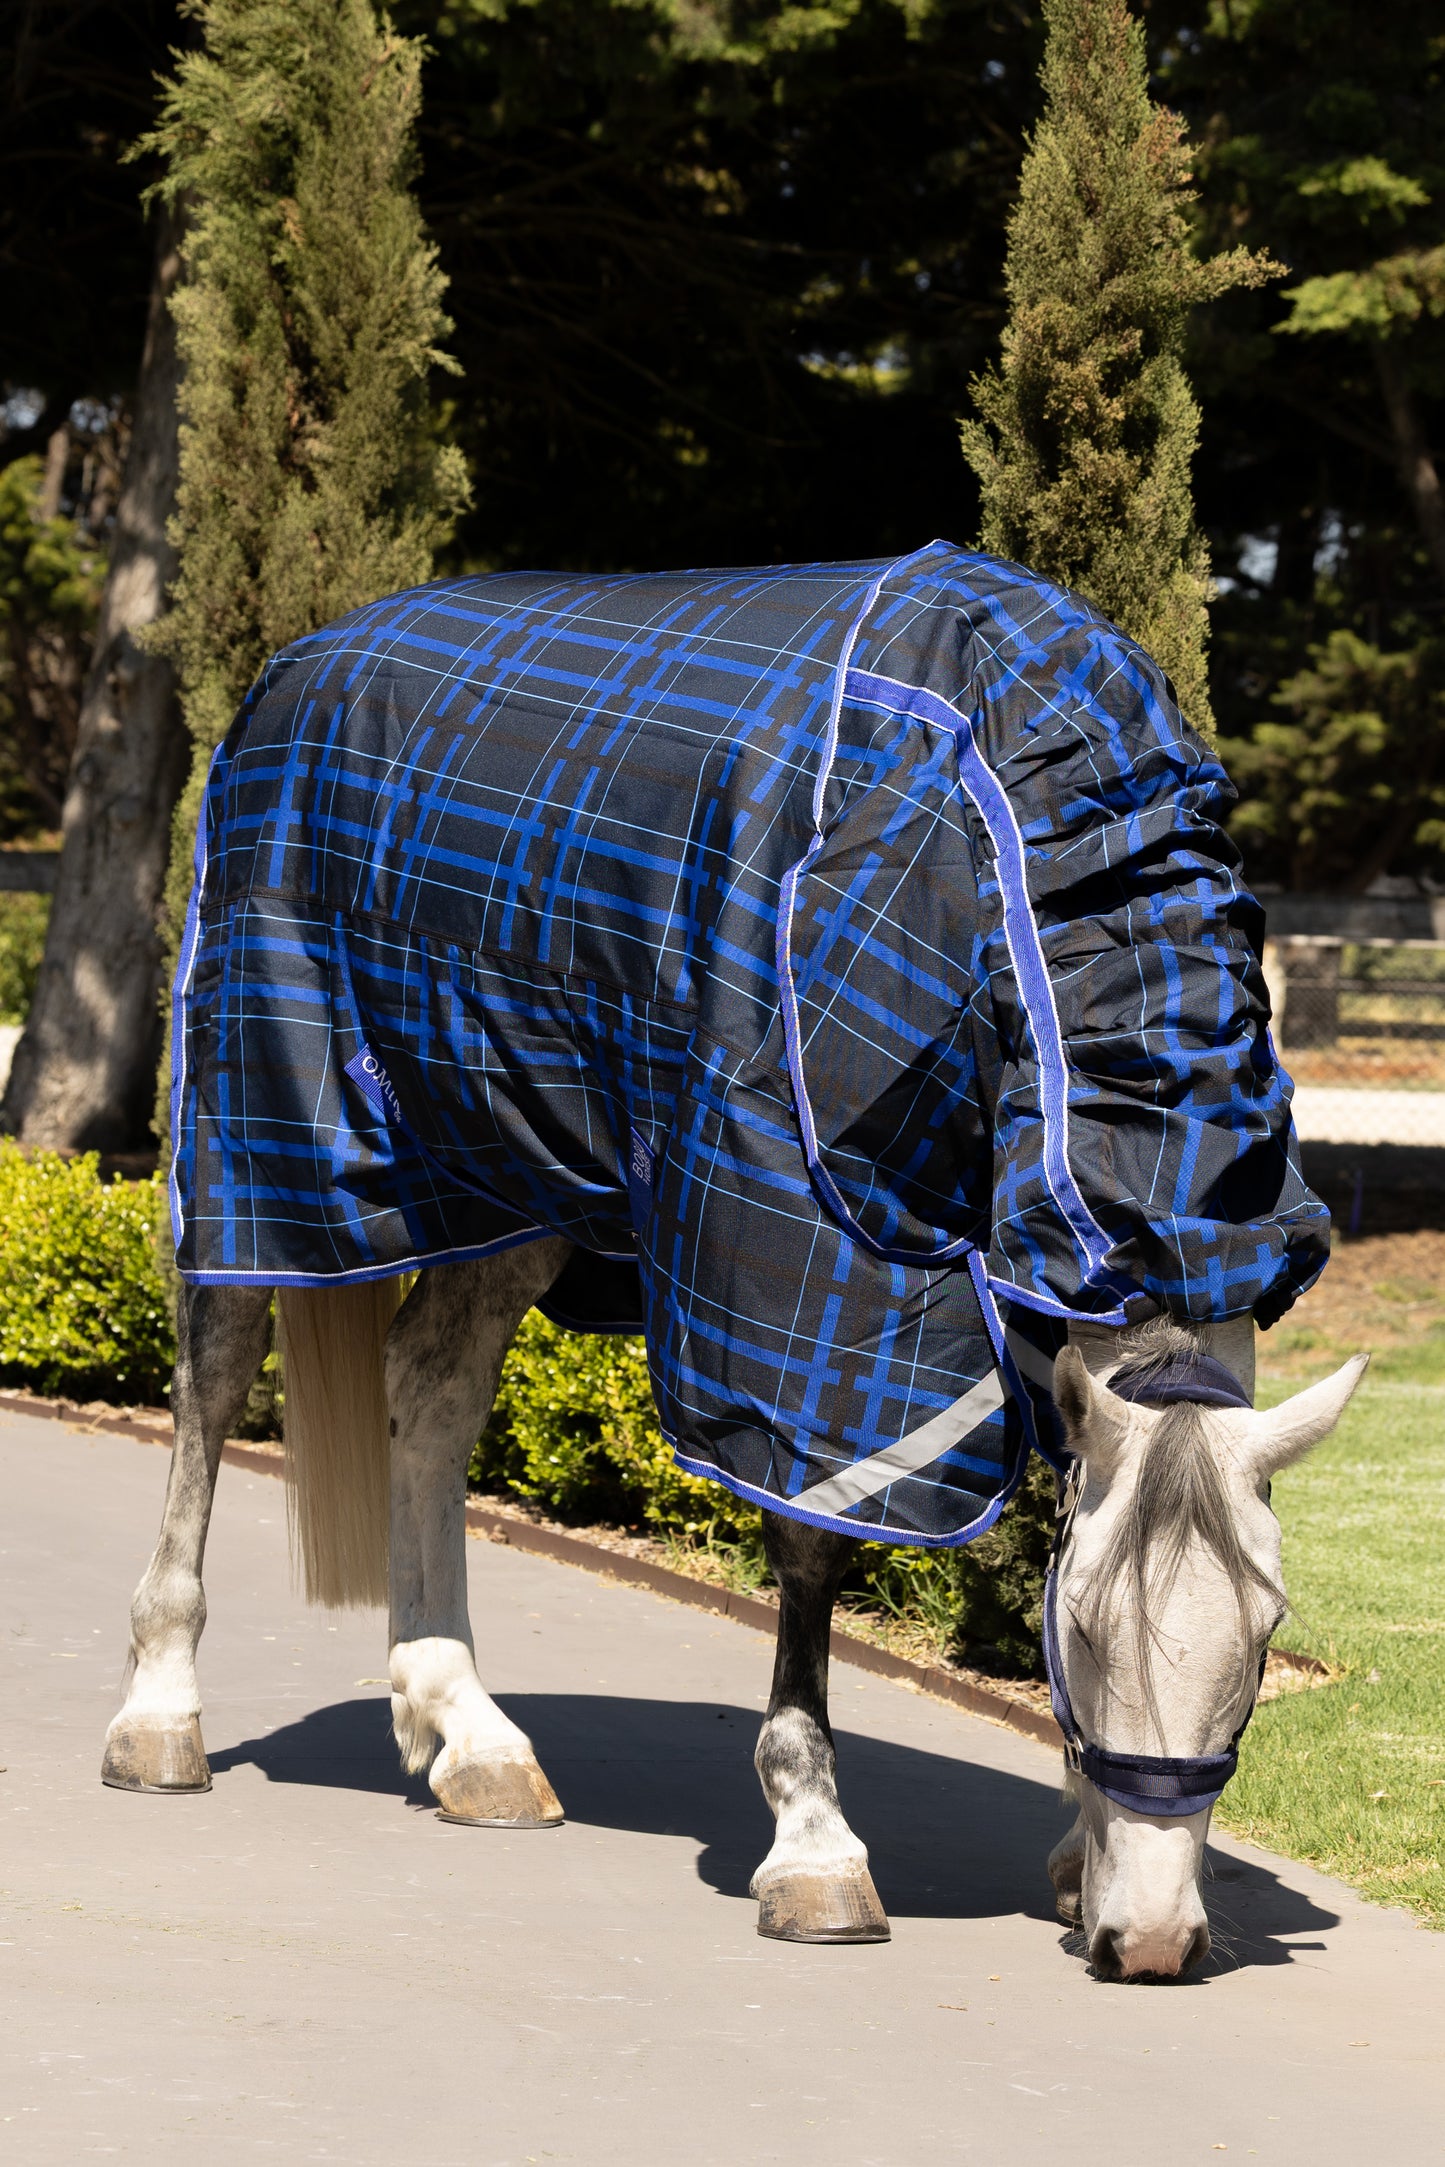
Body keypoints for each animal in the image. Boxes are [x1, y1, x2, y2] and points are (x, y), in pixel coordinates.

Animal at [105, 542, 1349, 1979]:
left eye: (1263, 1633)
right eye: (1084, 1625)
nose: (1146, 1938)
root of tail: (296, 664)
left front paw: (1068, 1852)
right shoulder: (815, 1274)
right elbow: (809, 1554)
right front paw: (814, 1848)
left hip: (517, 1171)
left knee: (429, 1387)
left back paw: (465, 1728)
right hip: (272, 1132)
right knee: (214, 1371)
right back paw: (161, 1714)